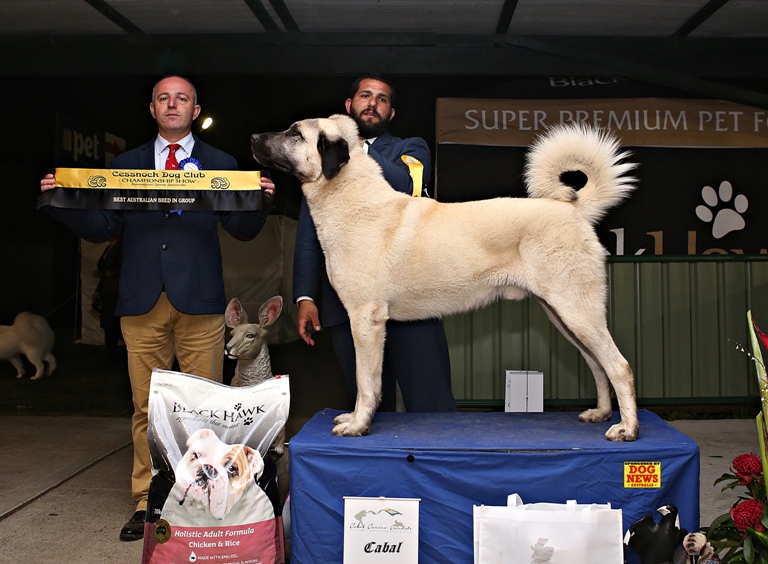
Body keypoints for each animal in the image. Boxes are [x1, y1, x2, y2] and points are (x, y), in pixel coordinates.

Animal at [250, 114, 636, 440]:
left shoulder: (366, 320)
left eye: (295, 133)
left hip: (577, 311)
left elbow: (366, 381)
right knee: (598, 365)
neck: (350, 199)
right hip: (564, 316)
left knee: (619, 366)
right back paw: (601, 413)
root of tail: (573, 209)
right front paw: (356, 420)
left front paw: (358, 425)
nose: (253, 137)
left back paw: (626, 429)